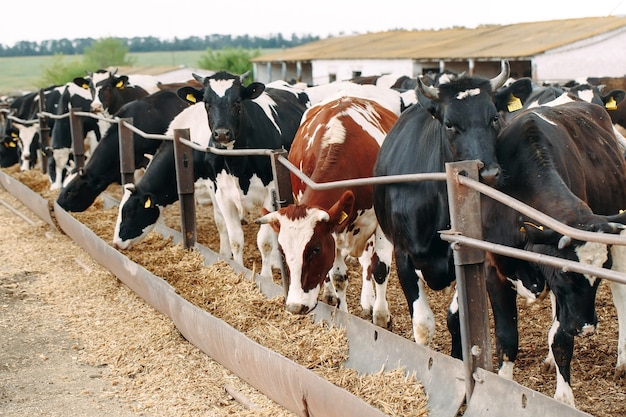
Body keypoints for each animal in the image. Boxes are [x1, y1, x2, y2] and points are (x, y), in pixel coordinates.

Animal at [254, 95, 394, 328]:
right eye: (282, 251)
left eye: (315, 249)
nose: (295, 306)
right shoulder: (333, 229)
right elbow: (337, 276)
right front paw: (344, 315)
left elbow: (380, 268)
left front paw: (381, 316)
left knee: (368, 262)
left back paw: (368, 301)